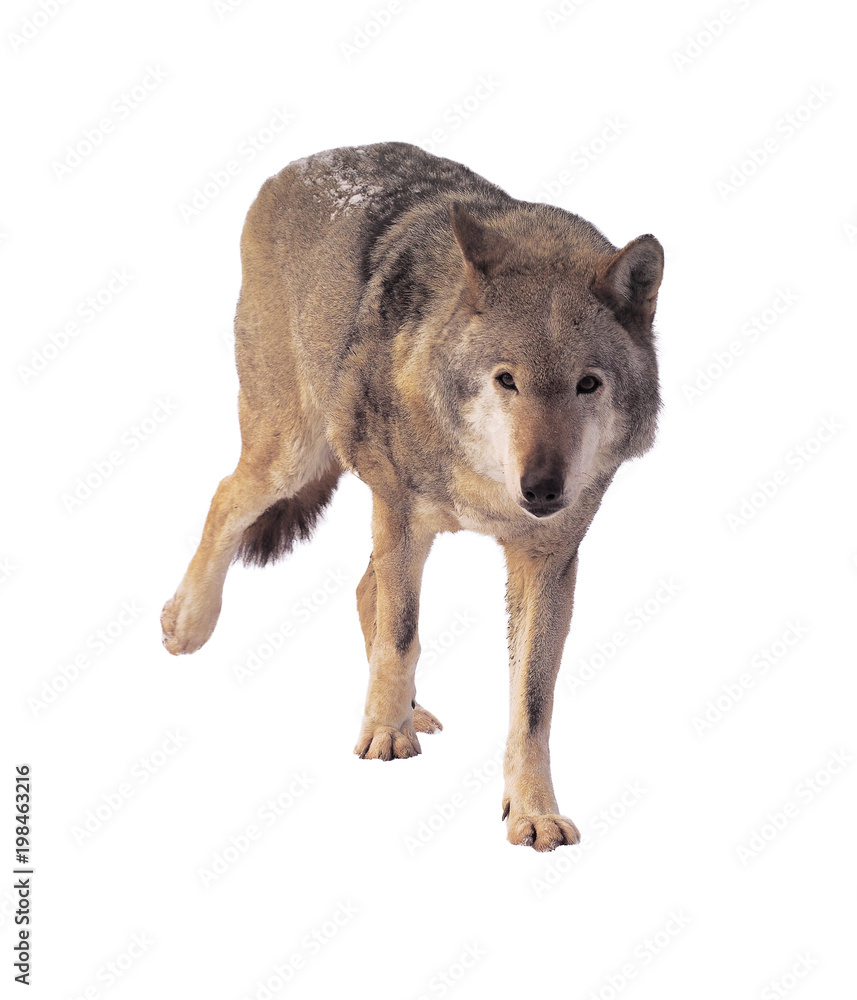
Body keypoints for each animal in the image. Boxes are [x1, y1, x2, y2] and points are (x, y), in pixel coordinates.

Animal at [161, 142, 663, 851]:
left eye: (587, 384)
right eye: (506, 380)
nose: (542, 488)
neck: (486, 487)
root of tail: (297, 166)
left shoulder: (547, 561)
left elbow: (532, 704)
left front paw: (532, 810)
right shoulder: (397, 510)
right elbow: (401, 634)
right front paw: (383, 735)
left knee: (361, 586)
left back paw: (409, 707)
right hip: (293, 455)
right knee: (226, 496)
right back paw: (187, 626)